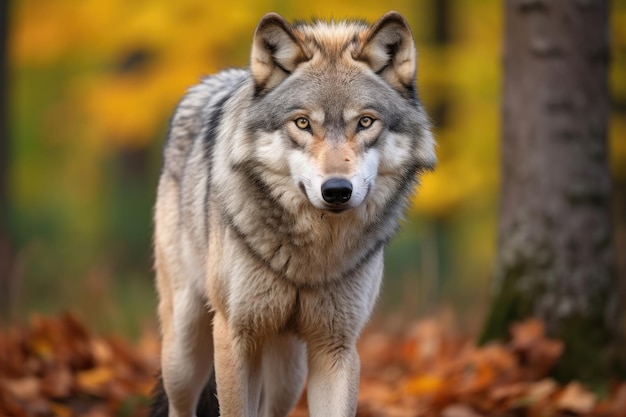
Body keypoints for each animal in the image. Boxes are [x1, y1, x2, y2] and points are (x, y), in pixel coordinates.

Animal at [150, 10, 434, 416]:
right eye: (303, 123)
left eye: (365, 122)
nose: (336, 190)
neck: (309, 256)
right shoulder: (235, 335)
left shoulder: (336, 346)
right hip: (185, 349)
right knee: (180, 401)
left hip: (288, 370)